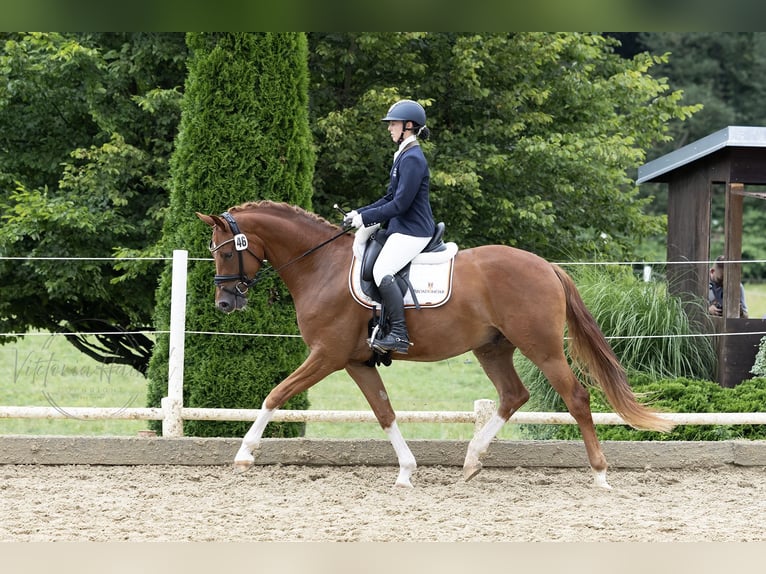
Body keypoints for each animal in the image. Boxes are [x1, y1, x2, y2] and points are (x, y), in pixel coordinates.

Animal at [195, 202, 676, 490]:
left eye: (225, 252)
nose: (224, 303)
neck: (321, 267)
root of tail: (547, 266)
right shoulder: (356, 362)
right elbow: (384, 412)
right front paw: (407, 471)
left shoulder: (327, 356)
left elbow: (275, 394)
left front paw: (244, 454)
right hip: (492, 348)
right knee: (513, 395)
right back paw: (472, 460)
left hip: (541, 347)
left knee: (575, 397)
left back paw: (600, 474)